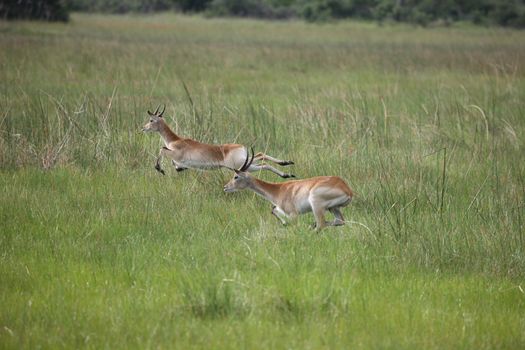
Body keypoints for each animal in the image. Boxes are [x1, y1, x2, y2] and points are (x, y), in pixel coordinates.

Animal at [139, 104, 294, 178]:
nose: (143, 128)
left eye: (151, 120)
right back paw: (287, 167)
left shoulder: (175, 154)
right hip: (246, 163)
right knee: (262, 156)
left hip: (240, 167)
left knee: (264, 164)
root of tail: (241, 146)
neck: (175, 140)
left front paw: (160, 169)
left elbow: (162, 149)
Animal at [224, 149, 352, 231]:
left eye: (236, 176)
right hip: (333, 208)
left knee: (321, 225)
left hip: (316, 205)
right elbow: (274, 210)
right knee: (339, 221)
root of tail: (346, 189)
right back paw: (312, 225)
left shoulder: (293, 214)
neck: (278, 190)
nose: (225, 187)